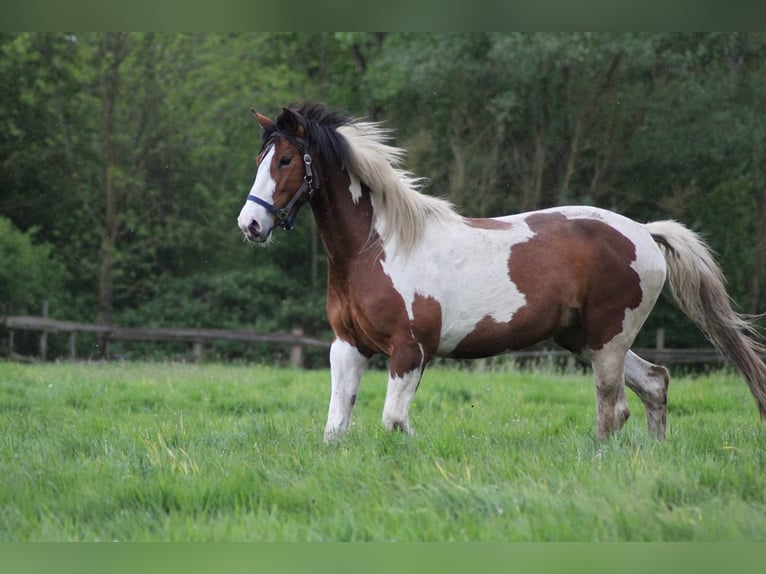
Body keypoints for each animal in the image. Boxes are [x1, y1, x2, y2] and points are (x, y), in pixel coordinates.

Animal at [238, 103, 766, 444]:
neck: (378, 247)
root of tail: (644, 233)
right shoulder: (348, 346)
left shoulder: (411, 350)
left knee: (613, 407)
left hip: (609, 336)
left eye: (286, 159)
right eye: (260, 158)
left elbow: (394, 422)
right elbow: (336, 428)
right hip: (583, 337)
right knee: (655, 383)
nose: (251, 224)